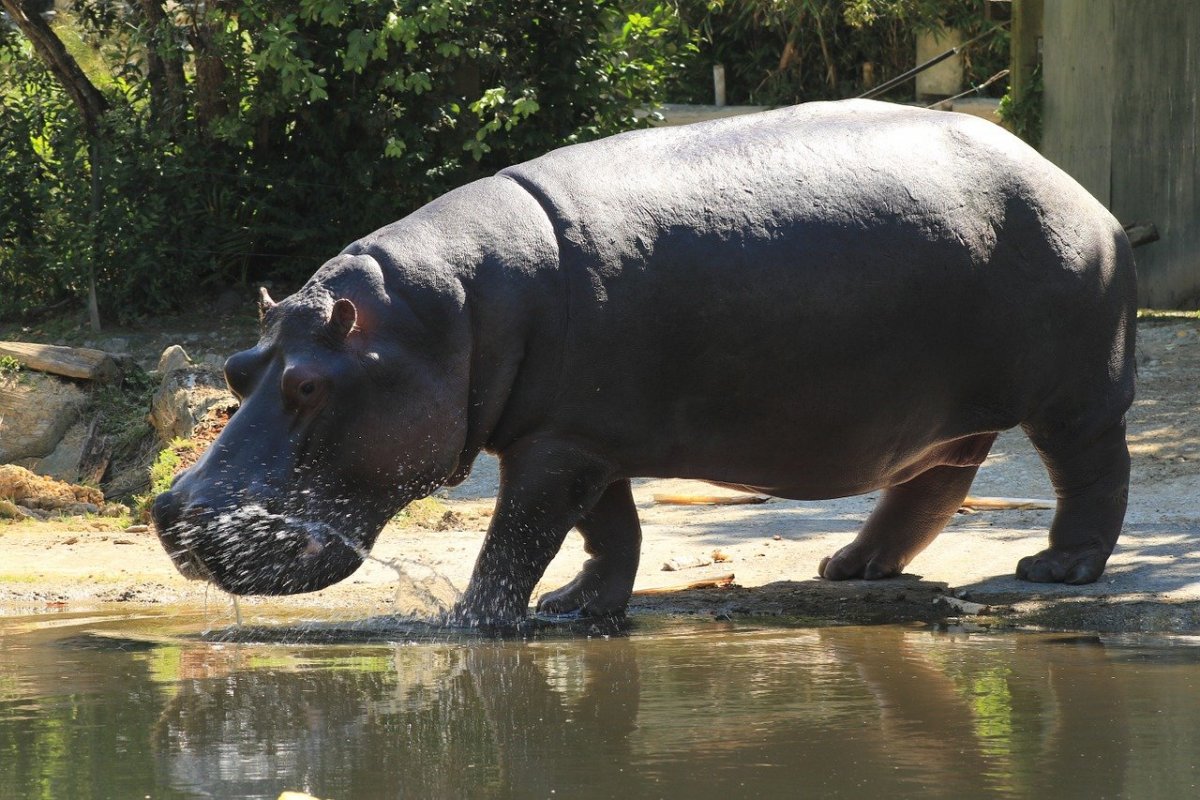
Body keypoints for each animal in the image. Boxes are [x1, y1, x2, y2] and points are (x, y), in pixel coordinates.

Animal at [151, 100, 1136, 625]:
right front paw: (576, 608)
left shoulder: (556, 449)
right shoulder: (581, 437)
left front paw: (474, 623)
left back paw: (1056, 571)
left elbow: (517, 538)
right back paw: (849, 569)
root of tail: (1080, 192)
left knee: (1092, 470)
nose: (172, 511)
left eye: (310, 385)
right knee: (933, 479)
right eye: (237, 368)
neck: (443, 320)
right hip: (945, 412)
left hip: (1075, 392)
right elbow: (607, 533)